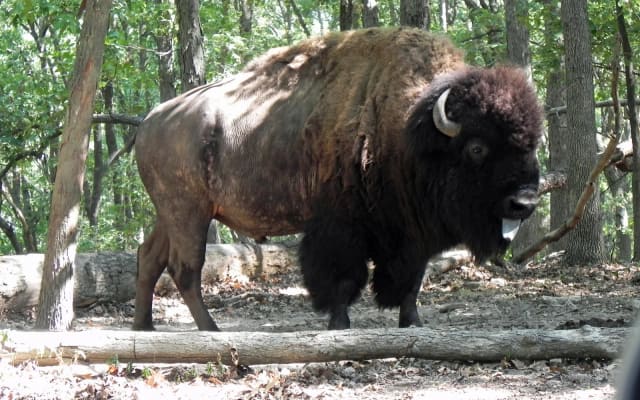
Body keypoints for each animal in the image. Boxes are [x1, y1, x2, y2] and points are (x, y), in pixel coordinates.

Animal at [133, 27, 543, 331]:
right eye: (476, 147)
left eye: (533, 143)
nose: (524, 202)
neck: (407, 128)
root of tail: (151, 120)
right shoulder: (340, 226)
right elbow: (342, 278)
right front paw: (339, 324)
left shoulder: (412, 232)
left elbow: (412, 281)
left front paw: (412, 322)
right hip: (190, 213)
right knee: (185, 269)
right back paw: (211, 331)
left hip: (169, 215)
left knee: (149, 258)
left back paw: (144, 327)